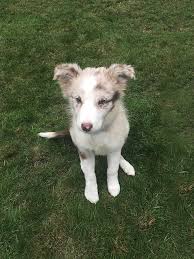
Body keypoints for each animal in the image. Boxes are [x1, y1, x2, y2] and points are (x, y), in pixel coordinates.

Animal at [38, 64, 136, 204]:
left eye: (102, 101)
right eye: (78, 99)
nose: (85, 127)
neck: (98, 133)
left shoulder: (114, 148)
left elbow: (112, 169)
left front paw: (113, 187)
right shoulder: (84, 150)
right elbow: (89, 174)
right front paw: (91, 193)